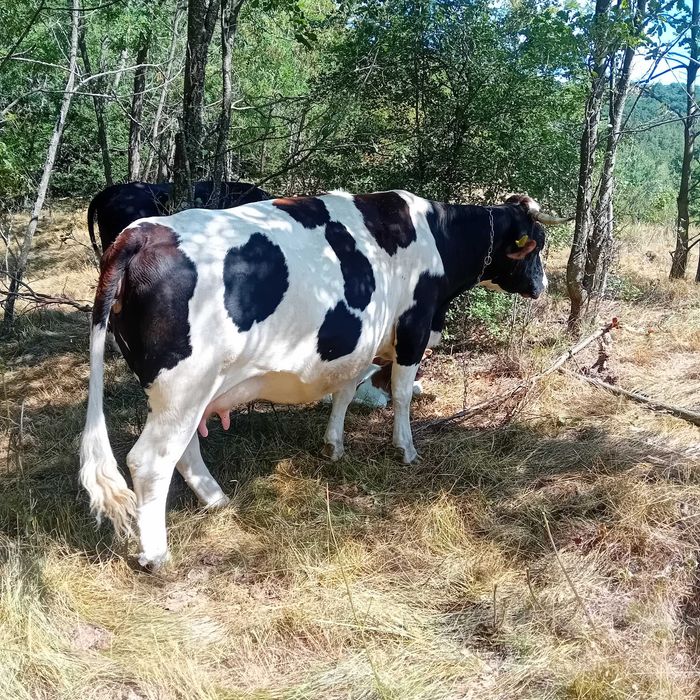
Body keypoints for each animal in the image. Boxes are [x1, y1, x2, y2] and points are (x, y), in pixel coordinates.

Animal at [79, 190, 566, 569]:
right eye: (536, 245)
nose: (542, 286)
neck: (435, 236)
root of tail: (141, 232)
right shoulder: (413, 328)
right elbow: (401, 394)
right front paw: (405, 448)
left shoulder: (361, 343)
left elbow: (345, 392)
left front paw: (334, 444)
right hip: (184, 385)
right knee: (150, 460)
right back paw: (156, 553)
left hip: (182, 393)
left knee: (183, 450)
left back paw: (217, 499)